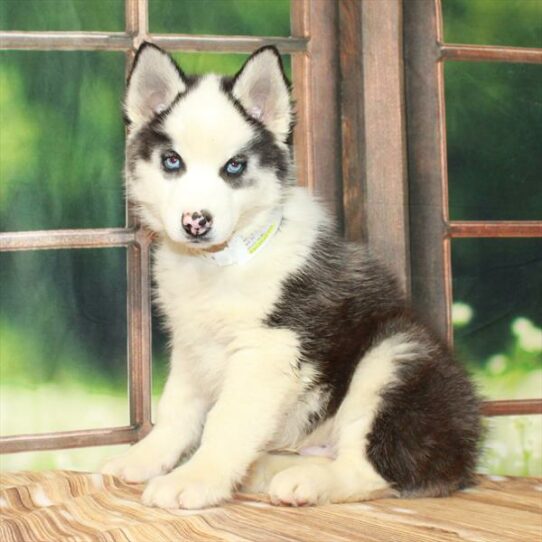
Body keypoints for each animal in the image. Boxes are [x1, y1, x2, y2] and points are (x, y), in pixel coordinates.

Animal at [104, 42, 482, 510]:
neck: (225, 263)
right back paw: (266, 469)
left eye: (234, 166)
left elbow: (226, 421)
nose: (196, 222)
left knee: (376, 466)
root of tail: (467, 453)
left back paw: (308, 481)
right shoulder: (190, 345)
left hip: (395, 353)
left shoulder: (270, 348)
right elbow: (178, 409)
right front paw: (146, 457)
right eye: (172, 162)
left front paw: (196, 478)